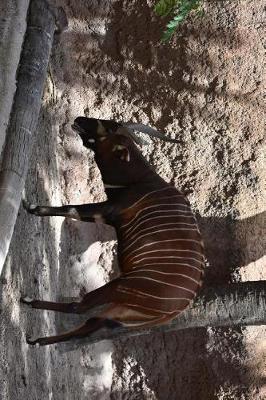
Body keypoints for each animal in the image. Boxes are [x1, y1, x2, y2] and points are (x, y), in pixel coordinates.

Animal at [21, 117, 205, 346]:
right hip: (121, 310)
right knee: (89, 324)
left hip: (119, 288)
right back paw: (36, 340)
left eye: (107, 129)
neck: (138, 179)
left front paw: (30, 206)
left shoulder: (106, 210)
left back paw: (29, 303)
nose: (79, 119)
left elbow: (70, 209)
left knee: (79, 307)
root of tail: (175, 311)